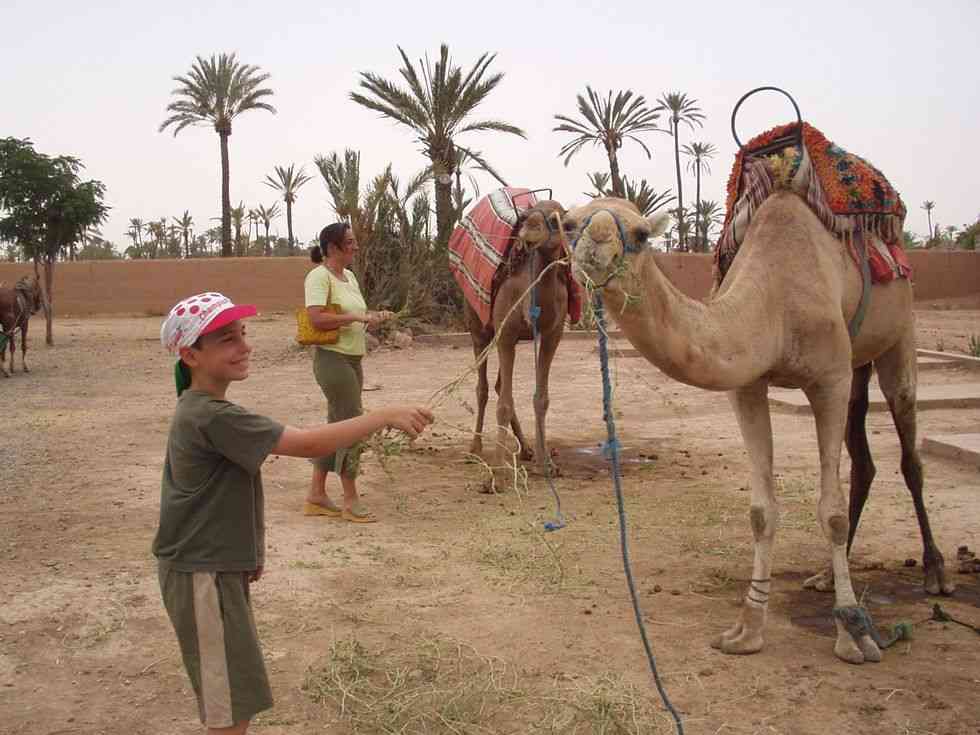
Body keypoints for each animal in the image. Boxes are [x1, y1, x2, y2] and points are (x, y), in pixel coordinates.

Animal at [464, 200, 569, 479]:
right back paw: (475, 447)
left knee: (500, 386)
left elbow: (541, 398)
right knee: (483, 388)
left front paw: (546, 463)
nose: (530, 228)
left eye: (556, 220)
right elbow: (503, 404)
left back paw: (526, 449)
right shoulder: (506, 333)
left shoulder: (553, 334)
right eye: (524, 217)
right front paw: (498, 471)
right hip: (478, 329)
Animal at [566, 194, 952, 665]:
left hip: (899, 334)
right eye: (568, 224)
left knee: (910, 451)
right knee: (863, 458)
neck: (773, 305)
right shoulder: (747, 386)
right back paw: (824, 576)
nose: (596, 245)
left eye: (640, 234)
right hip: (857, 364)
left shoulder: (828, 380)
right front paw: (747, 630)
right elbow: (761, 512)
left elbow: (832, 513)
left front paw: (851, 634)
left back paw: (935, 573)